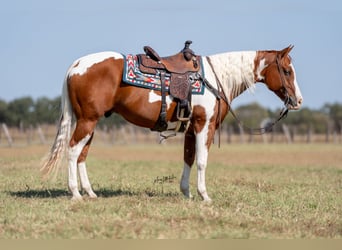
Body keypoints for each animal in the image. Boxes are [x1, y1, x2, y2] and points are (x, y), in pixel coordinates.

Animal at [42, 41, 302, 201]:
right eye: (287, 71)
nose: (298, 101)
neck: (216, 77)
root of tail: (77, 65)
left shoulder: (190, 128)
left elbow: (189, 158)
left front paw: (187, 193)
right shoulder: (204, 125)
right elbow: (202, 161)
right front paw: (204, 196)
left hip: (90, 122)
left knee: (82, 154)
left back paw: (90, 192)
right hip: (87, 121)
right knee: (73, 150)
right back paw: (76, 193)